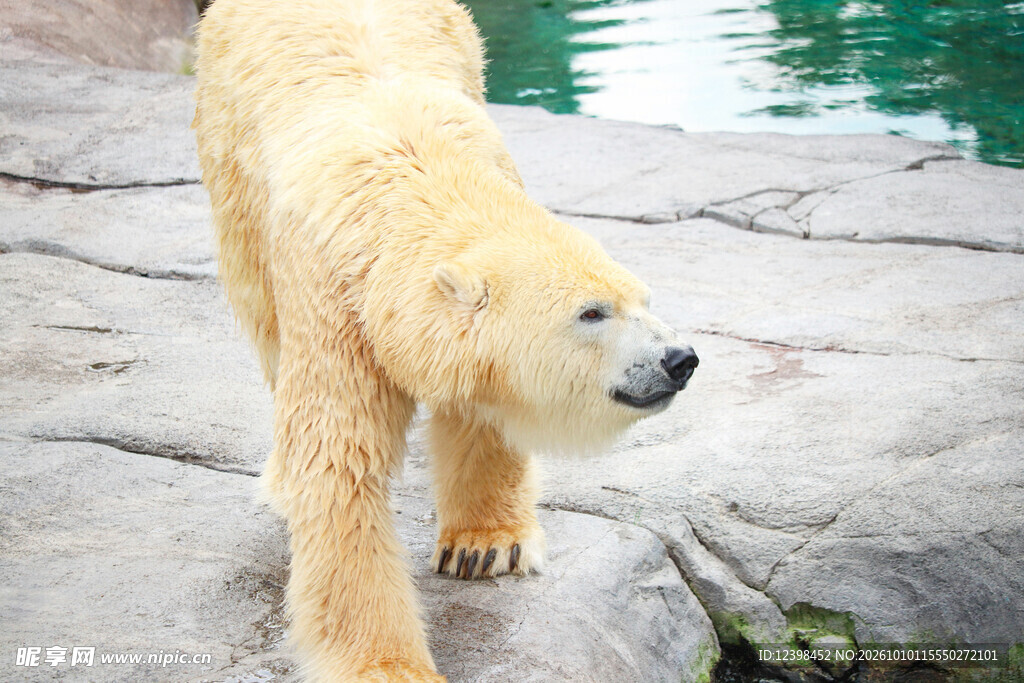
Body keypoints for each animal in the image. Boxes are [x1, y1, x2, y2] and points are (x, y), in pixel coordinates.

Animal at [192, 0, 698, 679]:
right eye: (592, 313)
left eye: (643, 299)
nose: (679, 359)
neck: (413, 179)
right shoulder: (333, 297)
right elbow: (340, 460)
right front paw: (388, 664)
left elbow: (479, 408)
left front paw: (486, 547)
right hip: (233, 170)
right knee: (267, 327)